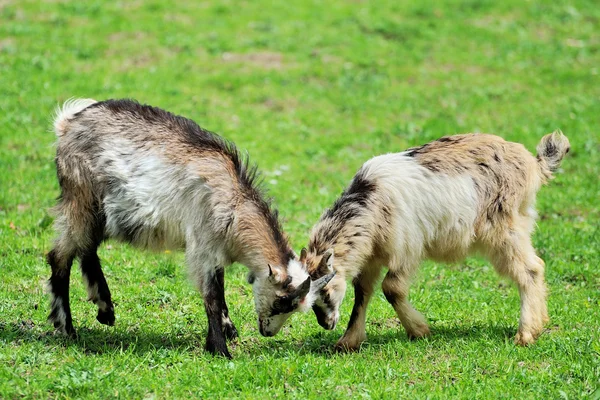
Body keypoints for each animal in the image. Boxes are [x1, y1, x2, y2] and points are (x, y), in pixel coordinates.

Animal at [302, 131, 568, 350]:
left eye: (325, 290)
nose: (326, 324)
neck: (371, 202)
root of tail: (533, 163)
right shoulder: (372, 256)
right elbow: (363, 292)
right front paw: (347, 342)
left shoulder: (408, 249)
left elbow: (392, 288)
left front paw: (419, 330)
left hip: (504, 229)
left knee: (530, 269)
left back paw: (525, 335)